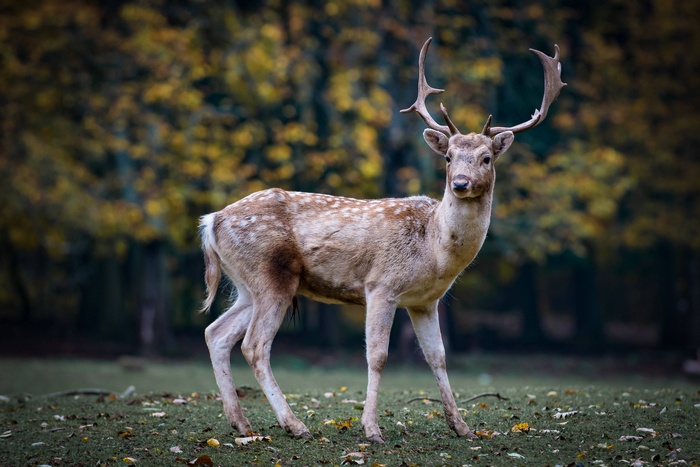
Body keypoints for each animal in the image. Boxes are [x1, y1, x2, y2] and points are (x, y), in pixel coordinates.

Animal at [199, 37, 565, 442]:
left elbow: (438, 356)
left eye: (486, 158)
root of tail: (211, 221)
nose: (460, 183)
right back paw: (295, 425)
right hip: (271, 275)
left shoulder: (425, 302)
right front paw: (372, 429)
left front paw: (462, 427)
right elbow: (378, 356)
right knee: (254, 345)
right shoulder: (381, 286)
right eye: (449, 157)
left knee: (216, 333)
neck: (434, 250)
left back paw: (241, 423)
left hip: (246, 284)